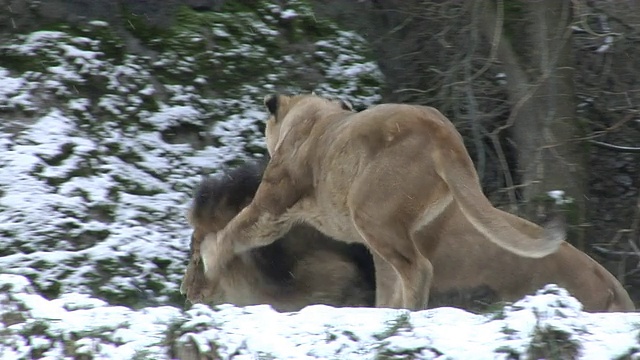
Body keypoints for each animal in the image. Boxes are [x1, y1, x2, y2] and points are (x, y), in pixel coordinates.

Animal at [201, 94, 568, 310]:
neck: (312, 114)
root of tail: (445, 134)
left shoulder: (272, 206)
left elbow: (236, 230)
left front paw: (209, 258)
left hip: (370, 212)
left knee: (417, 268)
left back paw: (407, 315)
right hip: (393, 226)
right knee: (398, 273)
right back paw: (389, 312)